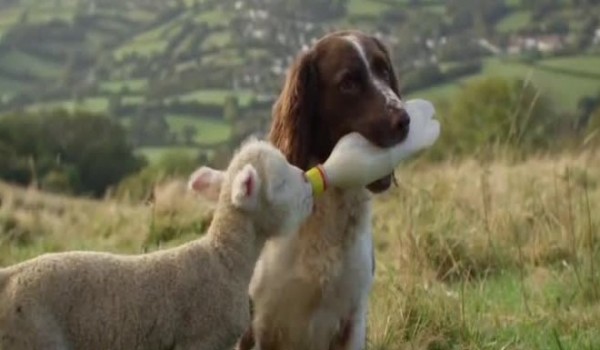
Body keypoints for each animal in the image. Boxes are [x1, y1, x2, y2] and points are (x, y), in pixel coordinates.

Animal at [0, 138, 312, 350]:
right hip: (33, 338)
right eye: (280, 183)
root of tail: (9, 276)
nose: (309, 183)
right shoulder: (201, 338)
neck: (224, 260)